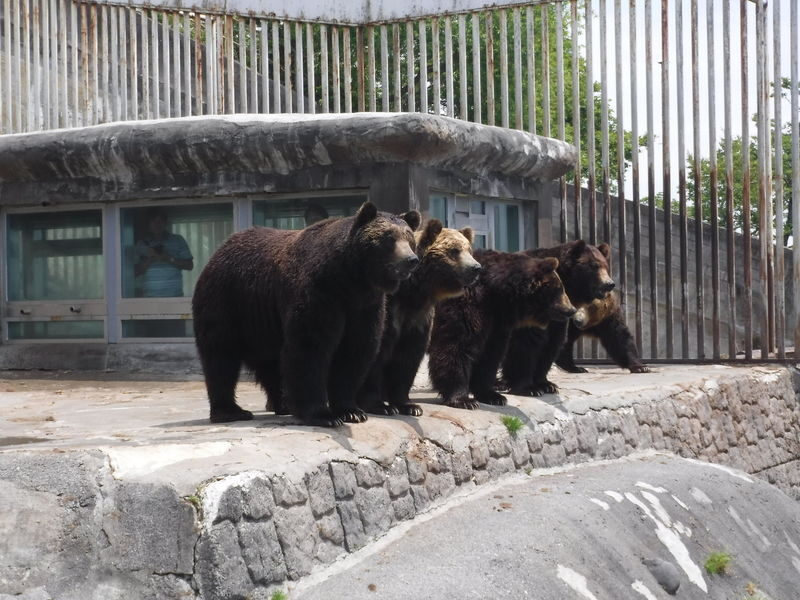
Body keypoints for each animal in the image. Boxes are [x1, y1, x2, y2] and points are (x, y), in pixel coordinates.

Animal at [191, 202, 421, 427]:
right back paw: (231, 411)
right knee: (221, 357)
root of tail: (219, 250)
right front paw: (324, 415)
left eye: (409, 238)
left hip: (263, 322)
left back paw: (282, 404)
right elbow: (310, 348)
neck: (350, 280)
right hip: (227, 304)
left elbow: (355, 350)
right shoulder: (319, 294)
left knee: (270, 363)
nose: (411, 259)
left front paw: (351, 411)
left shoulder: (365, 306)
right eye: (389, 238)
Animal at [357, 220, 481, 417]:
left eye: (469, 250)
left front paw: (408, 405)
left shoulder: (417, 317)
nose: (476, 268)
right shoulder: (389, 310)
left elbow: (408, 356)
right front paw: (379, 405)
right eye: (454, 250)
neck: (413, 291)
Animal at [428, 249, 576, 410]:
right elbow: (456, 346)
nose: (571, 310)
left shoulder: (496, 322)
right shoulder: (466, 304)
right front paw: (464, 400)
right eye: (559, 289)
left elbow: (491, 353)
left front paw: (493, 396)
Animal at [501, 240, 615, 396]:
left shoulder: (556, 317)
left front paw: (546, 384)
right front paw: (528, 388)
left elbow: (552, 341)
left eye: (605, 265)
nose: (609, 284)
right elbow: (525, 341)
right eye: (594, 266)